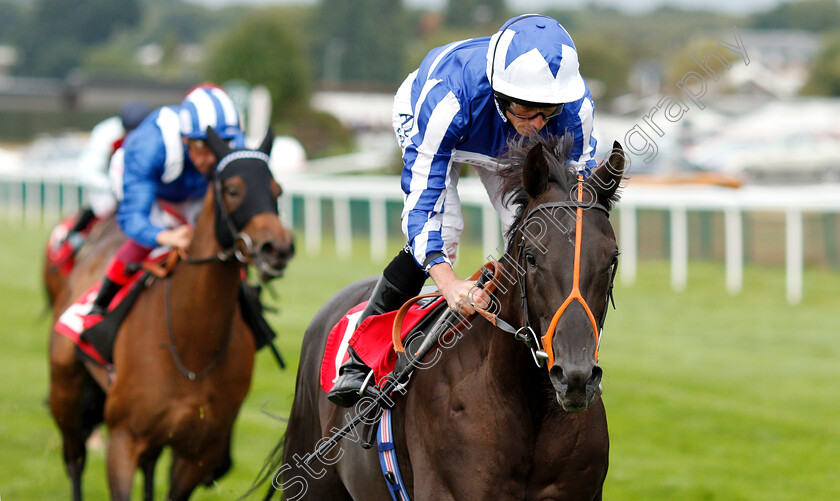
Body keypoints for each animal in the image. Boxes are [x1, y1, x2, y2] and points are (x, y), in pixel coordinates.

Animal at [47, 130, 296, 500]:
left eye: (277, 190)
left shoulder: (197, 454)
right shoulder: (123, 441)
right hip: (67, 395)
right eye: (233, 189)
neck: (191, 346)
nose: (276, 248)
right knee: (74, 460)